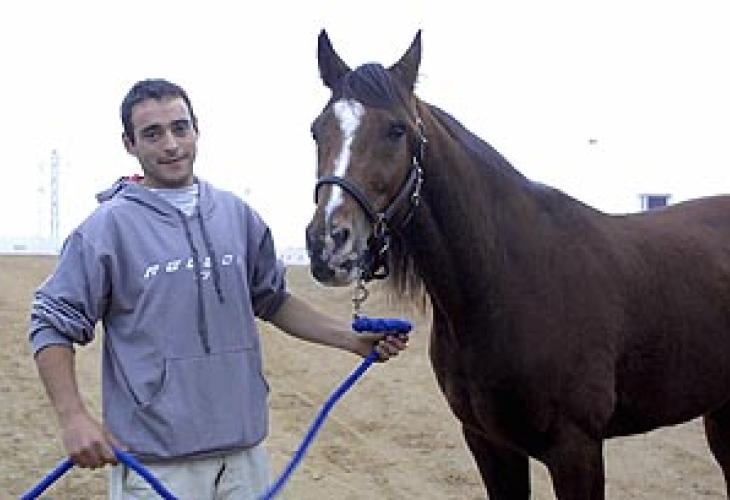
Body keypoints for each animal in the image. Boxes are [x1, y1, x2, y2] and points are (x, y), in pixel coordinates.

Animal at [305, 30, 730, 499]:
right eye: (317, 131)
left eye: (397, 130)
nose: (327, 243)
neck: (506, 282)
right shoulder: (489, 443)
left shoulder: (576, 450)